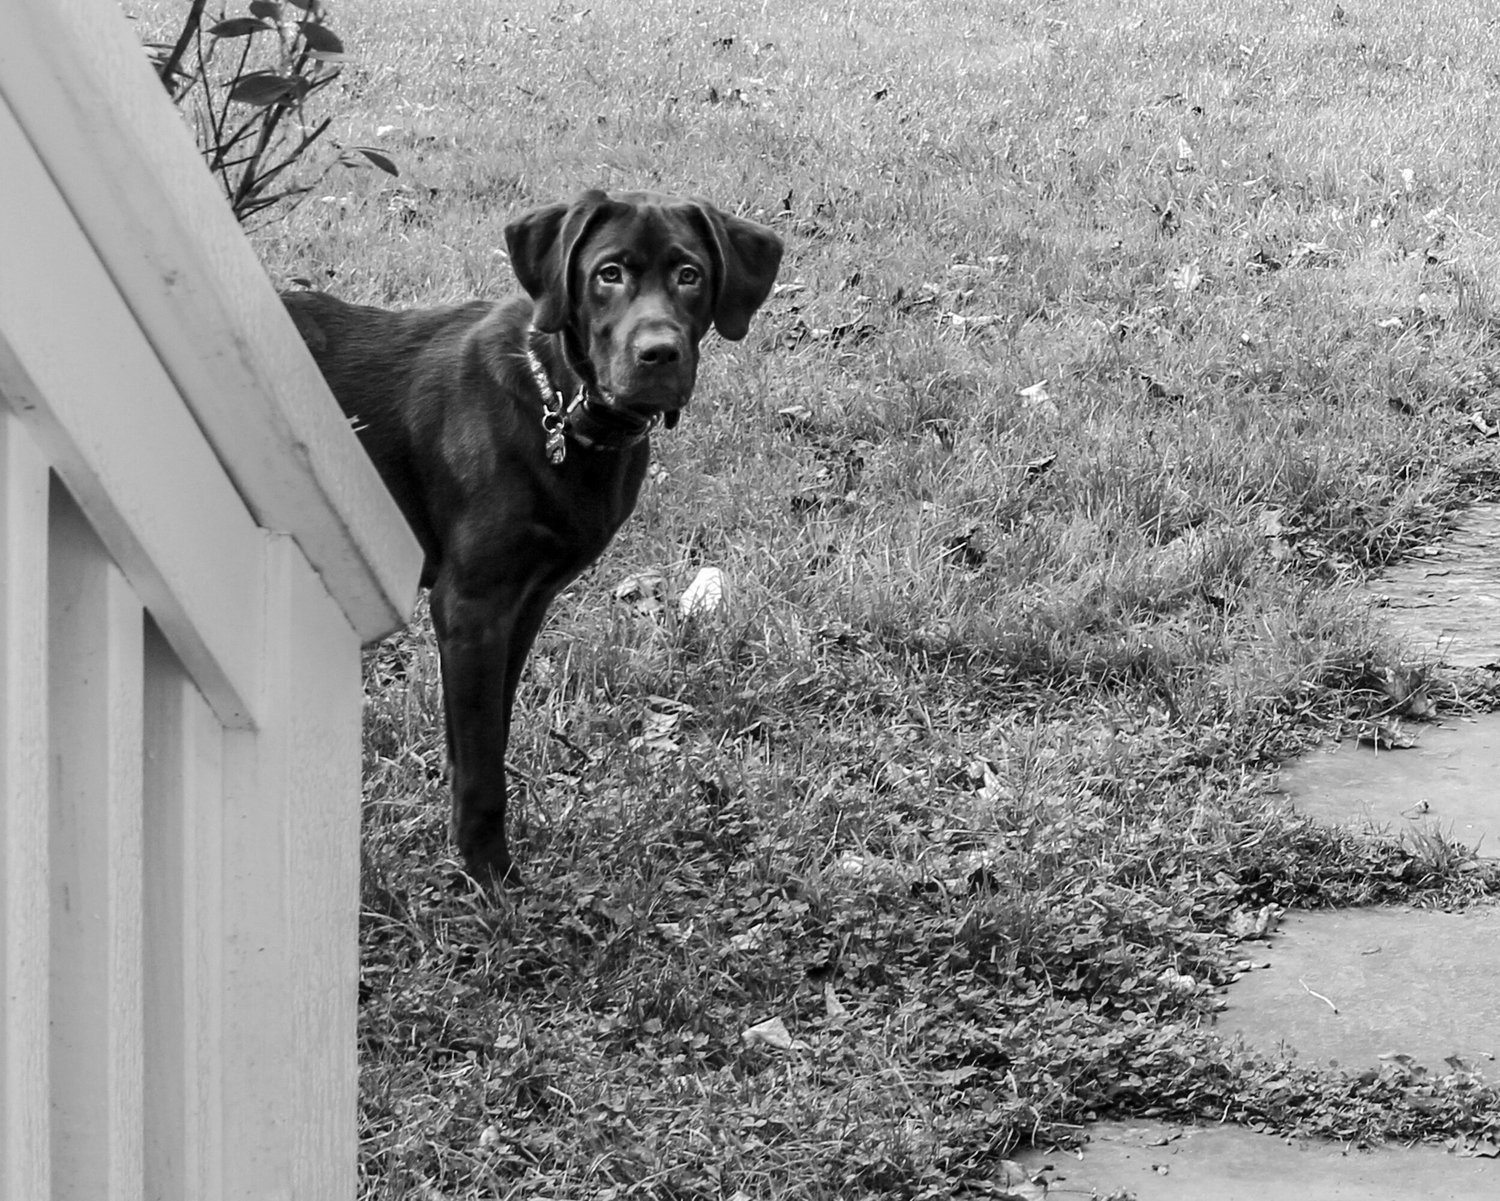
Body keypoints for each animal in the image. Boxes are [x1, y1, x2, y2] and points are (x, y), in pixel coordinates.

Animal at [283, 189, 783, 885]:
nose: (659, 354)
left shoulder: (525, 604)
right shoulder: (471, 606)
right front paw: (491, 876)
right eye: (608, 273)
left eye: (691, 275)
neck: (567, 408)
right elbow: (482, 766)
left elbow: (484, 736)